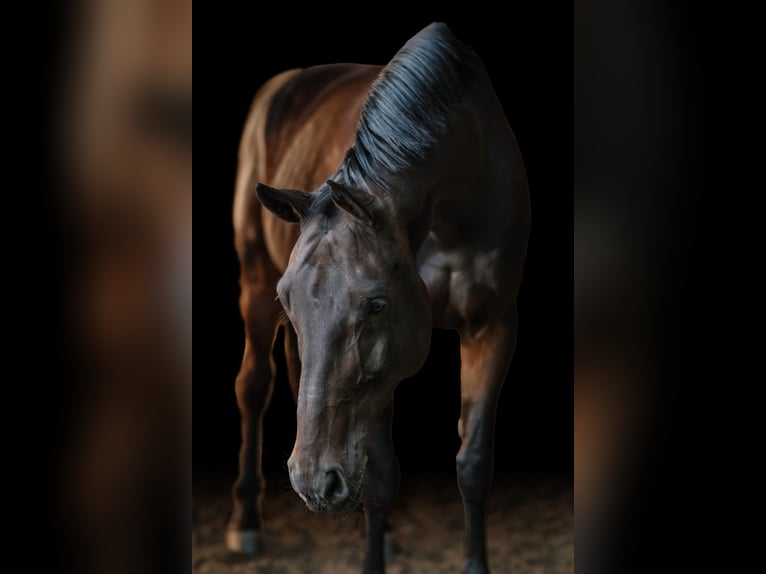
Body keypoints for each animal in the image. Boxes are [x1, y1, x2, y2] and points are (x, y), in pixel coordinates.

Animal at [228, 23, 530, 574]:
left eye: (376, 305)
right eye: (289, 300)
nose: (311, 481)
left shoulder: (492, 324)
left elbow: (474, 463)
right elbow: (383, 477)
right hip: (254, 284)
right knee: (254, 386)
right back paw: (247, 523)